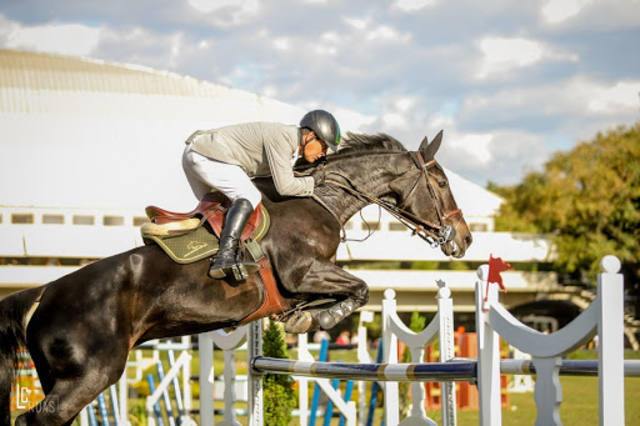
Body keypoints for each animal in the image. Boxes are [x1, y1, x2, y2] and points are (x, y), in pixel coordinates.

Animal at [0, 131, 470, 424]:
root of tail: (41, 293)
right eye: (441, 181)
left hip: (61, 378)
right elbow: (360, 288)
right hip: (89, 377)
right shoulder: (303, 271)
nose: (463, 239)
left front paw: (301, 316)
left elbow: (349, 292)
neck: (320, 198)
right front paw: (312, 317)